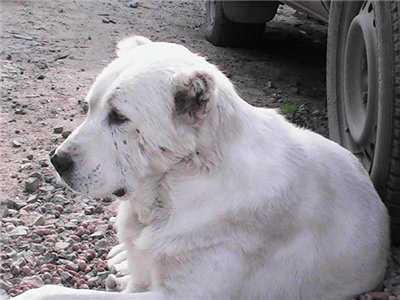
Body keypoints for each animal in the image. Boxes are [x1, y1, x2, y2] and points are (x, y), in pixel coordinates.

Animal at [14, 36, 388, 298]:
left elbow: (54, 293)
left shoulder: (180, 294)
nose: (57, 160)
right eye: (88, 107)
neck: (183, 178)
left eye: (119, 117)